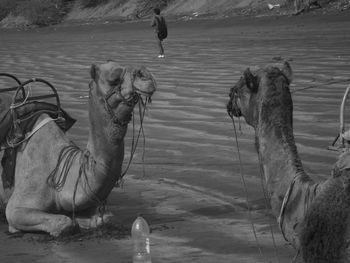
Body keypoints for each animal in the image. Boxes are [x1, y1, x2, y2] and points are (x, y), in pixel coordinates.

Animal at [0, 60, 156, 238]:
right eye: (114, 79)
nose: (145, 75)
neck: (59, 171)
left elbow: (103, 219)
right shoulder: (17, 207)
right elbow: (64, 223)